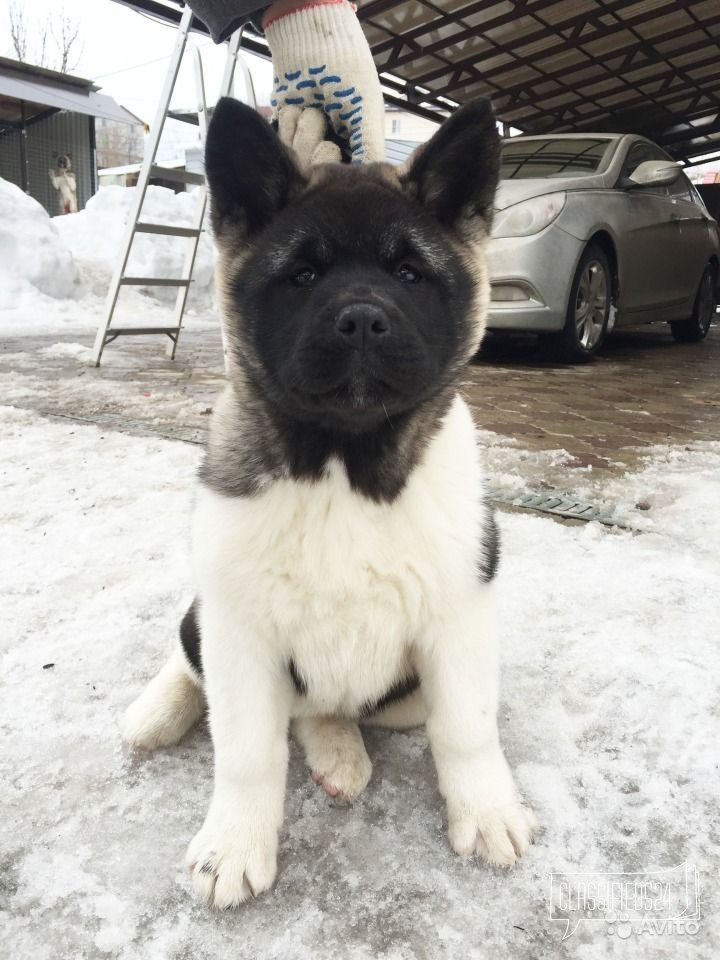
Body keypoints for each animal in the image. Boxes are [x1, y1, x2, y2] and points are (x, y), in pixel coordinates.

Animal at [122, 99, 536, 916]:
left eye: (409, 273)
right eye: (303, 274)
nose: (362, 321)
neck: (345, 465)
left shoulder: (459, 616)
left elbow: (466, 728)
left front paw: (487, 810)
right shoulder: (240, 628)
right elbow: (247, 750)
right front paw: (233, 845)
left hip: (399, 689)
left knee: (329, 708)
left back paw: (337, 750)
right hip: (206, 614)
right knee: (191, 656)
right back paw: (159, 713)